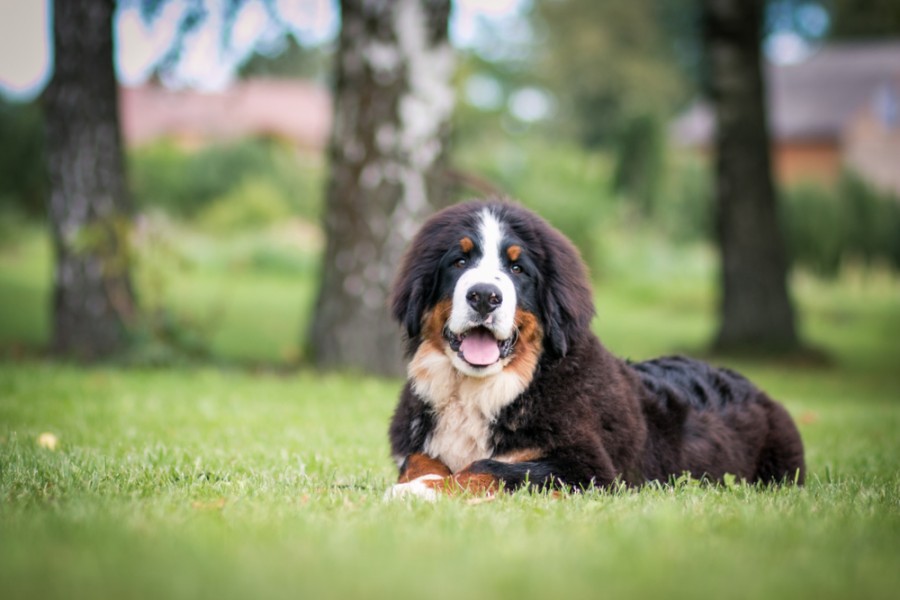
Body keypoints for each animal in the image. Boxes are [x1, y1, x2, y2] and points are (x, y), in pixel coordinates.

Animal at [384, 199, 804, 500]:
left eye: (518, 269)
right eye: (459, 261)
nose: (485, 296)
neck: (484, 391)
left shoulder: (587, 468)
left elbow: (489, 467)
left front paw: (421, 490)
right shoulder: (419, 443)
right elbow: (419, 459)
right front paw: (418, 481)